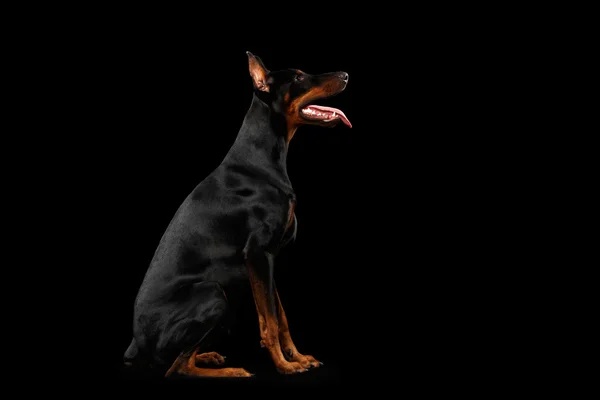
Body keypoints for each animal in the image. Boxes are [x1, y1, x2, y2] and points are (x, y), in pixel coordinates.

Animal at [123, 50, 350, 378]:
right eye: (298, 76)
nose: (345, 75)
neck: (262, 159)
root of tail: (134, 345)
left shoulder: (268, 258)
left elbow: (280, 317)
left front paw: (298, 357)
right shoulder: (257, 253)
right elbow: (269, 322)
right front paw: (285, 366)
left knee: (183, 358)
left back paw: (209, 356)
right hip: (214, 294)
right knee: (176, 368)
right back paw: (231, 372)